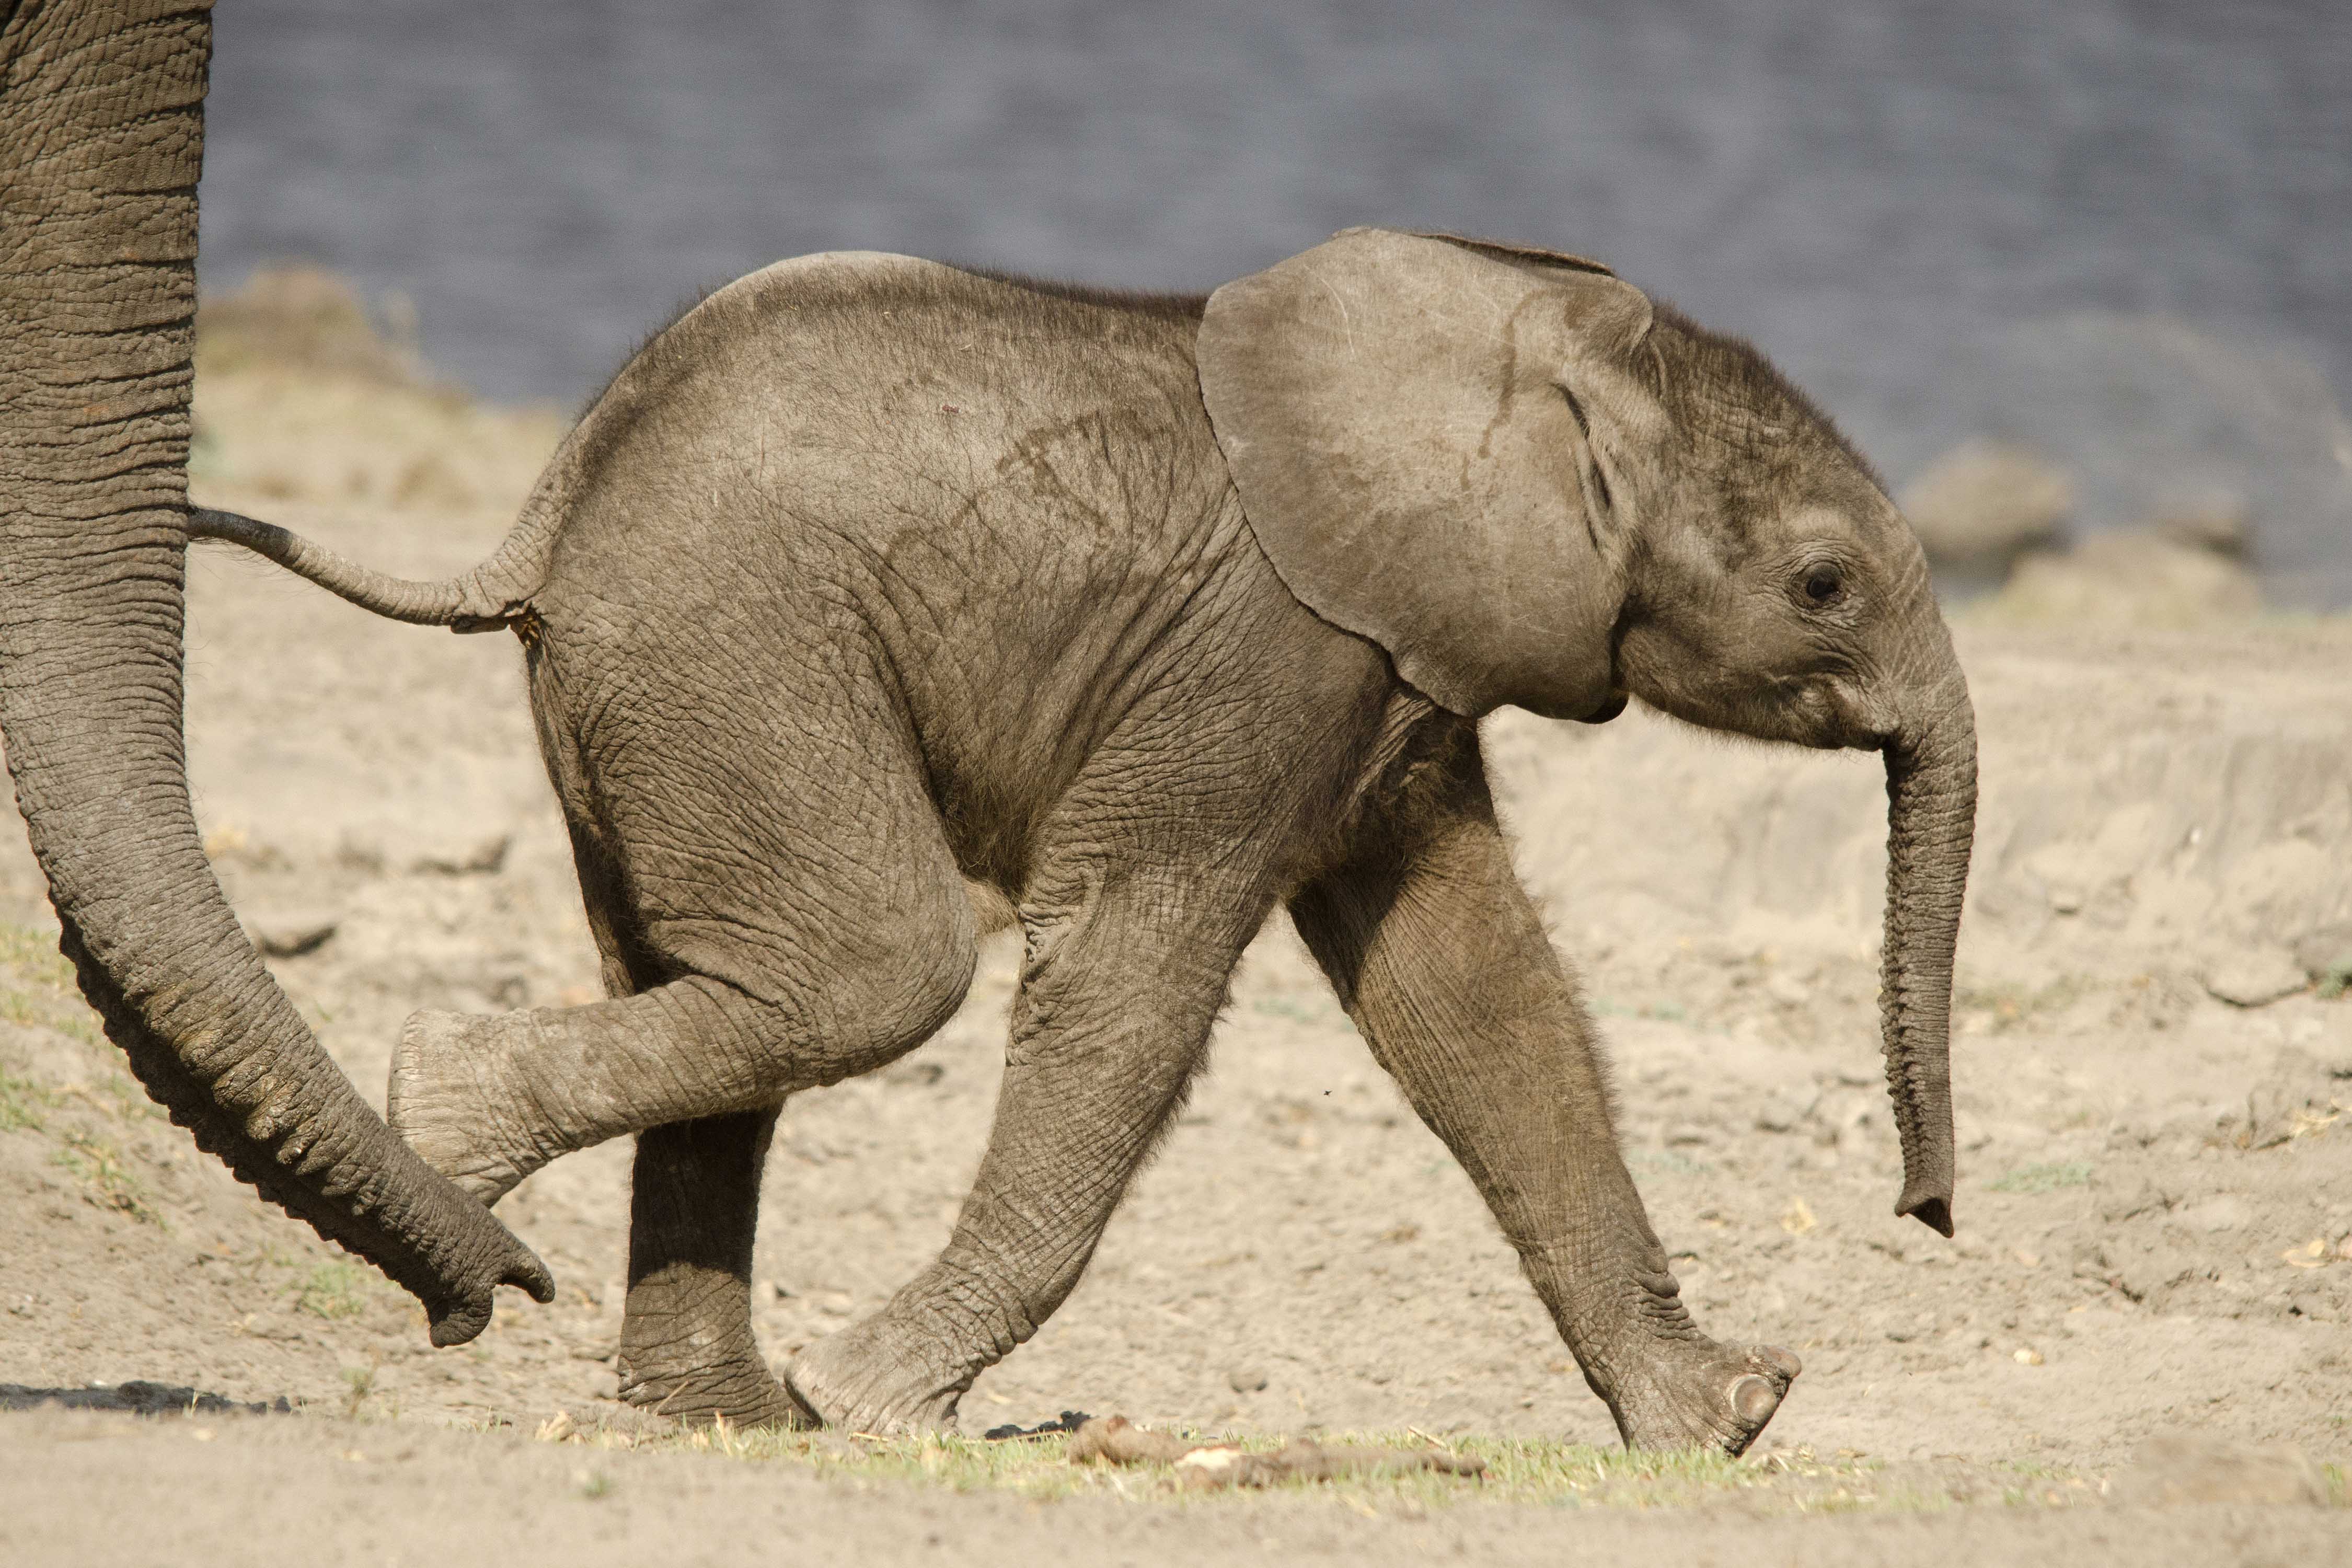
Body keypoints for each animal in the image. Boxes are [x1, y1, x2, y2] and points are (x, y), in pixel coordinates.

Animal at [1, 3, 1974, 1456]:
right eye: (1820, 584)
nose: (1929, 1219)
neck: (1522, 342)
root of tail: (550, 504)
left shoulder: (1388, 669)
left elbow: (1472, 989)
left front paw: (1726, 1422)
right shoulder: (1264, 652)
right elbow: (1135, 972)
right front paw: (878, 1403)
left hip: (663, 685)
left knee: (720, 968)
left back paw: (717, 1414)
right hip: (736, 651)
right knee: (875, 969)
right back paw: (473, 1171)